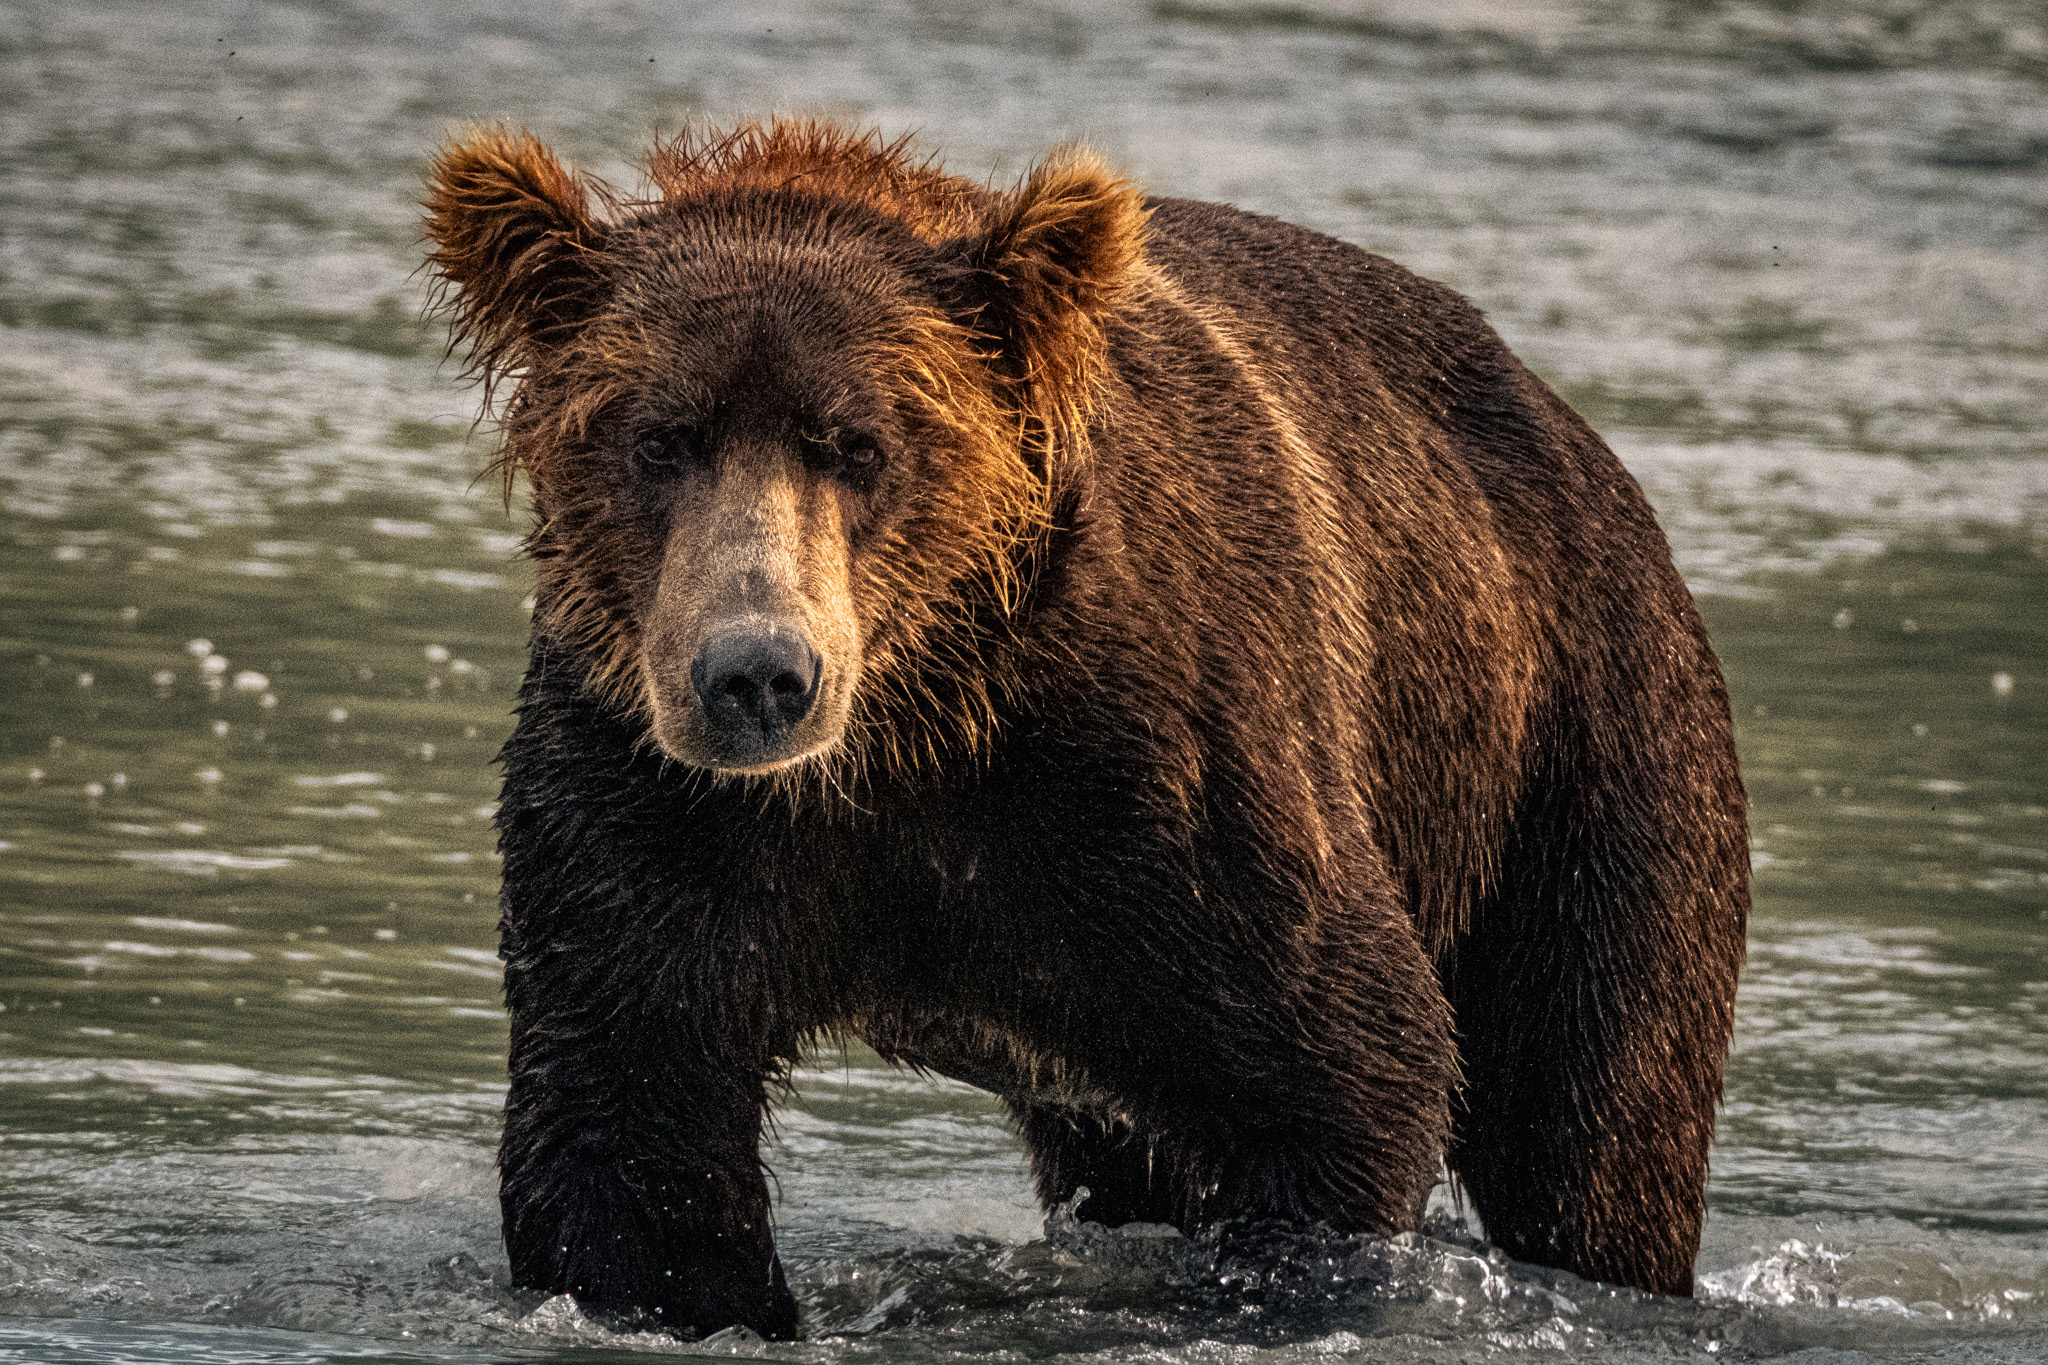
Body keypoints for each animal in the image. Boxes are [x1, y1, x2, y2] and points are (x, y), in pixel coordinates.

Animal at [422, 118, 1749, 1341]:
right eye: (659, 440)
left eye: (860, 445)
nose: (755, 676)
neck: (914, 732)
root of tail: (1580, 441)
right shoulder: (648, 798)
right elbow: (629, 1130)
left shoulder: (1161, 774)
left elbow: (1343, 1060)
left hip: (1582, 753)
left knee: (1589, 1107)